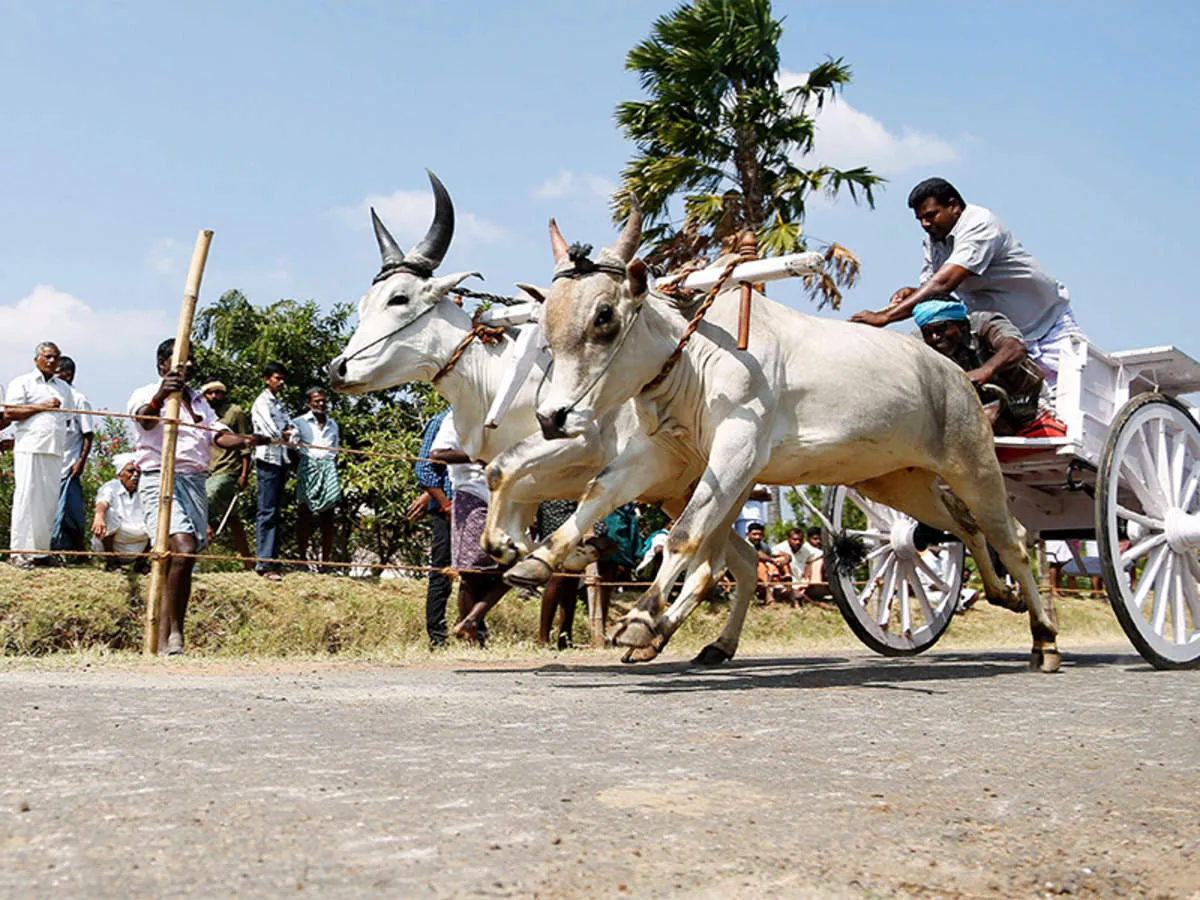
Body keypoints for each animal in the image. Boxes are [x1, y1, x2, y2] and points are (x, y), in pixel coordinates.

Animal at [496, 207, 1060, 672]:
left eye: (605, 317)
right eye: (546, 327)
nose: (552, 417)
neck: (696, 356)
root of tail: (957, 376)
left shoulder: (738, 451)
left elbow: (684, 535)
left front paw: (638, 620)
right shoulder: (662, 454)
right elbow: (597, 492)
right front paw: (535, 558)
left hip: (973, 464)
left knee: (1009, 535)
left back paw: (1044, 639)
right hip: (897, 483)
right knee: (963, 526)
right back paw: (1003, 596)